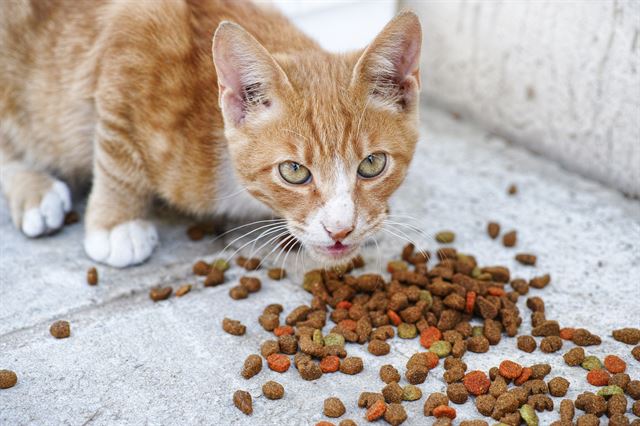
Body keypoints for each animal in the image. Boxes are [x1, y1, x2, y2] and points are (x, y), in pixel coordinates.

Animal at [1, 0, 424, 266]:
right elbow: (118, 157)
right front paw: (115, 224)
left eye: (372, 164)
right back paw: (36, 190)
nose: (340, 230)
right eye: (293, 171)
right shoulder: (133, 36)